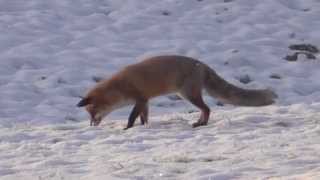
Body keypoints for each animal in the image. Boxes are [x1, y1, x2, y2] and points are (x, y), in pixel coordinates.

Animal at [77, 55, 278, 129]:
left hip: (188, 95)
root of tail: (202, 65)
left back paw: (201, 124)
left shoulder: (139, 99)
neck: (120, 87)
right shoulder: (145, 101)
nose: (91, 125)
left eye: (91, 112)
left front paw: (127, 128)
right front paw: (143, 127)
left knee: (207, 109)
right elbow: (144, 118)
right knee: (206, 109)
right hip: (188, 95)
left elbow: (132, 117)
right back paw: (200, 122)